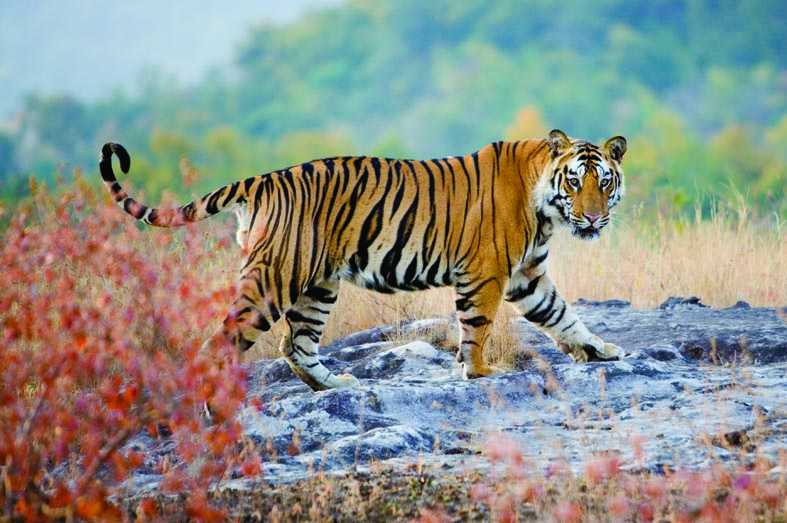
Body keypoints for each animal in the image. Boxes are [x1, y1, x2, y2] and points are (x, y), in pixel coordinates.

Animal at [99, 129, 628, 391]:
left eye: (604, 183)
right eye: (575, 182)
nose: (593, 218)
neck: (545, 209)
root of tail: (263, 179)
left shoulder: (527, 276)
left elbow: (563, 315)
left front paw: (600, 350)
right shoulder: (486, 274)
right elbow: (477, 327)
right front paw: (479, 373)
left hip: (317, 285)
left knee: (296, 344)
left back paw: (335, 384)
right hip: (274, 280)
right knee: (221, 343)